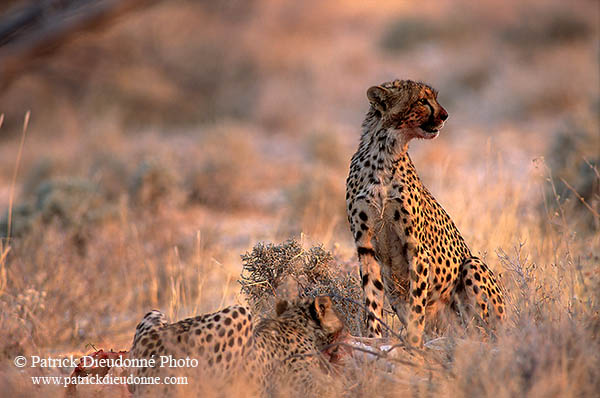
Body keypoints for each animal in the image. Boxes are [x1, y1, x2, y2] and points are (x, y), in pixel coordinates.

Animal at [346, 79, 506, 346]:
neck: (384, 152)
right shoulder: (365, 246)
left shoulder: (416, 247)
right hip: (395, 289)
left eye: (434, 98)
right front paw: (374, 340)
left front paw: (412, 342)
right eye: (422, 100)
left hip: (473, 266)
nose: (445, 115)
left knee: (484, 332)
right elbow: (372, 300)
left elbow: (417, 304)